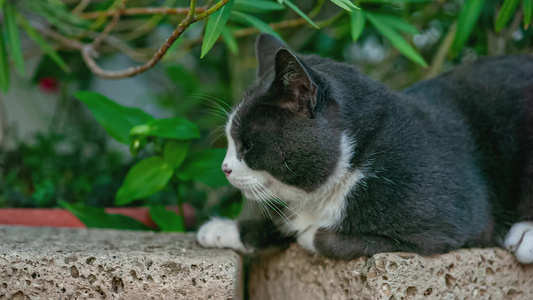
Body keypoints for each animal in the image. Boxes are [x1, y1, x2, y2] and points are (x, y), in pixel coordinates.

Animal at [195, 32, 532, 262]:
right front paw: (223, 229)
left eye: (248, 145)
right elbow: (281, 221)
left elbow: (320, 236)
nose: (225, 168)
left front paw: (306, 233)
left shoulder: (445, 227)